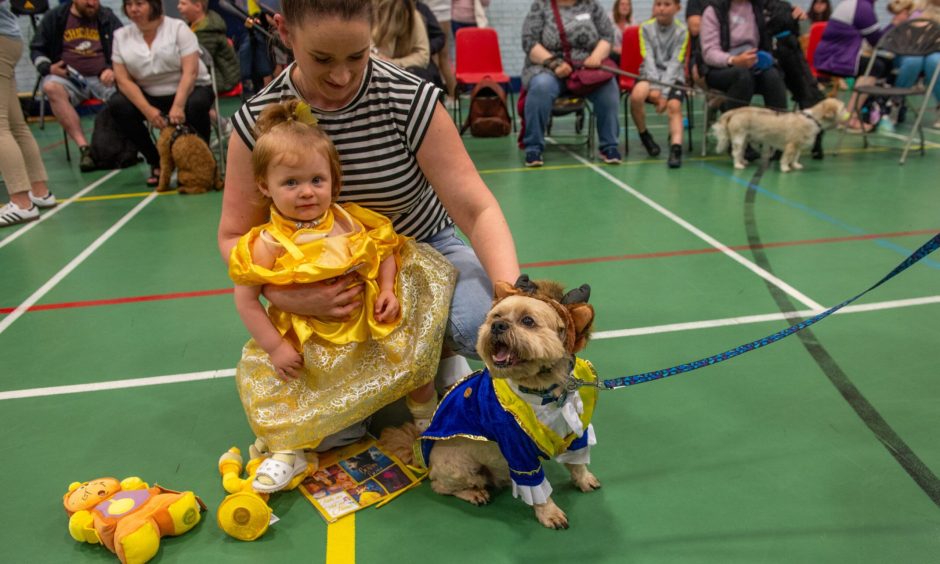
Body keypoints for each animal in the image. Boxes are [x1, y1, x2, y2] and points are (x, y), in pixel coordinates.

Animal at [378, 276, 600, 528]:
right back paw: (474, 493)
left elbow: (577, 463)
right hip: (462, 467)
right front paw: (549, 513)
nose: (497, 326)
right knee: (440, 486)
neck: (543, 392)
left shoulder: (576, 433)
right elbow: (538, 489)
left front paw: (584, 480)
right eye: (496, 316)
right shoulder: (519, 454)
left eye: (528, 321)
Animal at [712, 97, 844, 172]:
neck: (812, 119)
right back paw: (738, 165)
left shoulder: (798, 146)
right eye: (842, 108)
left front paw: (795, 165)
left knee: (740, 153)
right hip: (739, 139)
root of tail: (735, 111)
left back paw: (742, 161)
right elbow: (786, 158)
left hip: (745, 140)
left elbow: (795, 157)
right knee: (735, 153)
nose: (847, 113)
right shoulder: (791, 145)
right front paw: (785, 168)